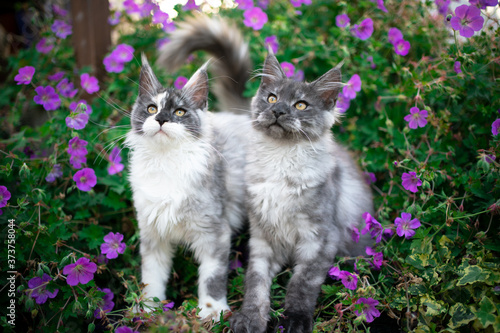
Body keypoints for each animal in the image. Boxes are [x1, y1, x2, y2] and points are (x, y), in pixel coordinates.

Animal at [125, 55, 250, 320]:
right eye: (152, 109)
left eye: (180, 112)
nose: (161, 119)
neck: (166, 162)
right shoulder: (152, 235)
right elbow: (152, 278)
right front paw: (149, 310)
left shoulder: (215, 232)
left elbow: (212, 278)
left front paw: (213, 312)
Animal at [229, 52, 374, 332]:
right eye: (272, 98)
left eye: (301, 105)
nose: (278, 111)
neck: (280, 160)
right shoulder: (263, 239)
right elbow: (255, 285)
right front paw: (250, 319)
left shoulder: (320, 237)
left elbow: (302, 283)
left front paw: (295, 319)